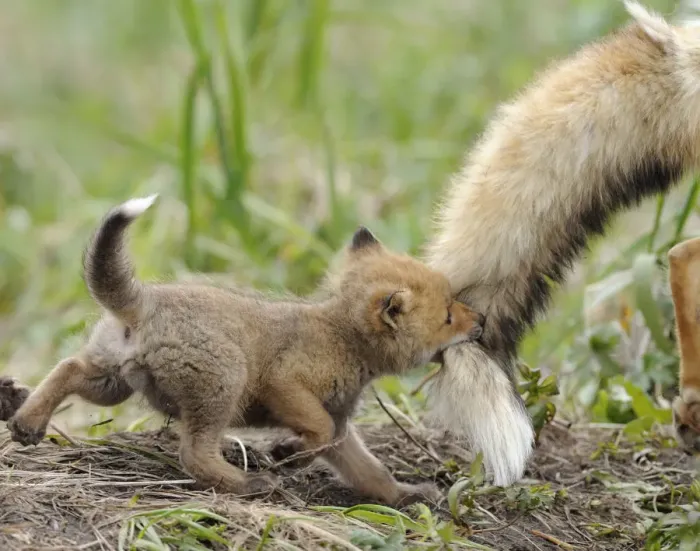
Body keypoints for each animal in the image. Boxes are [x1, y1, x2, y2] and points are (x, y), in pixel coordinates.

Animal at [0, 194, 485, 506]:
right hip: (224, 383)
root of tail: (144, 300)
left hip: (111, 381)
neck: (341, 337)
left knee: (67, 366)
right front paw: (286, 455)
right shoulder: (285, 385)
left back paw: (26, 421)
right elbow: (316, 430)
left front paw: (405, 495)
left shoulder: (342, 427)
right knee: (193, 453)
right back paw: (249, 485)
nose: (481, 320)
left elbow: (370, 471)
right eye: (447, 316)